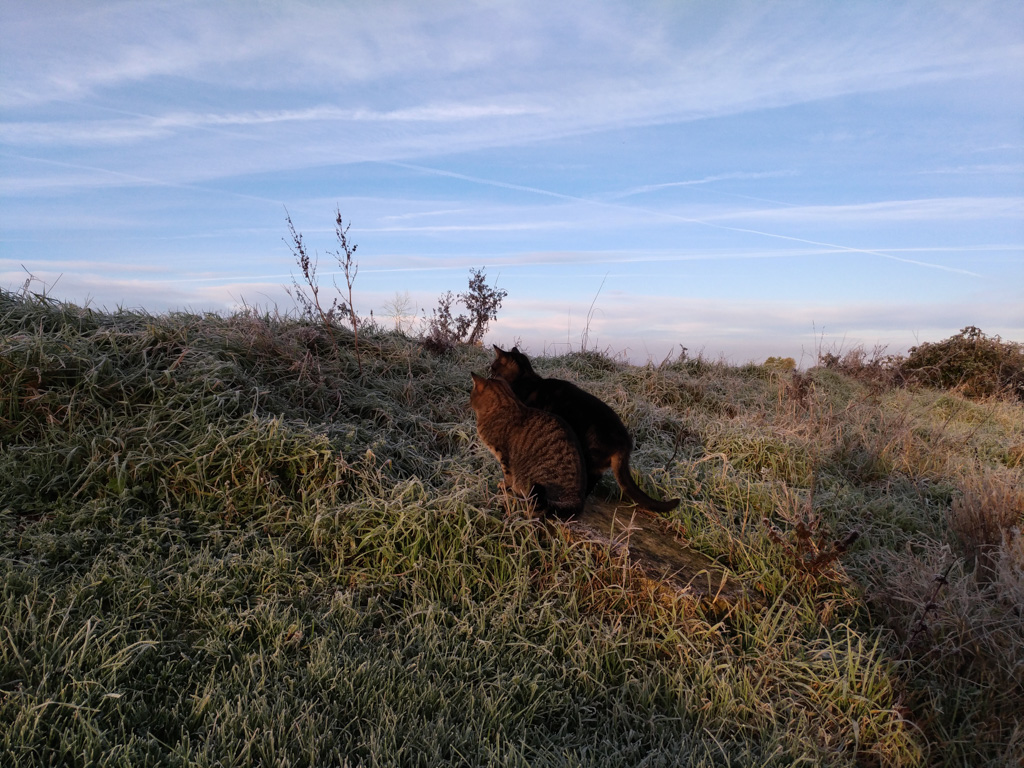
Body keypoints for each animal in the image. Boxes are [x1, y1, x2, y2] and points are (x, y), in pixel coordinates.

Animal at [468, 372, 585, 518]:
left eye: (471, 394)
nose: (467, 402)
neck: (505, 404)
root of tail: (577, 500)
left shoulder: (503, 454)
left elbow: (507, 475)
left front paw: (504, 485)